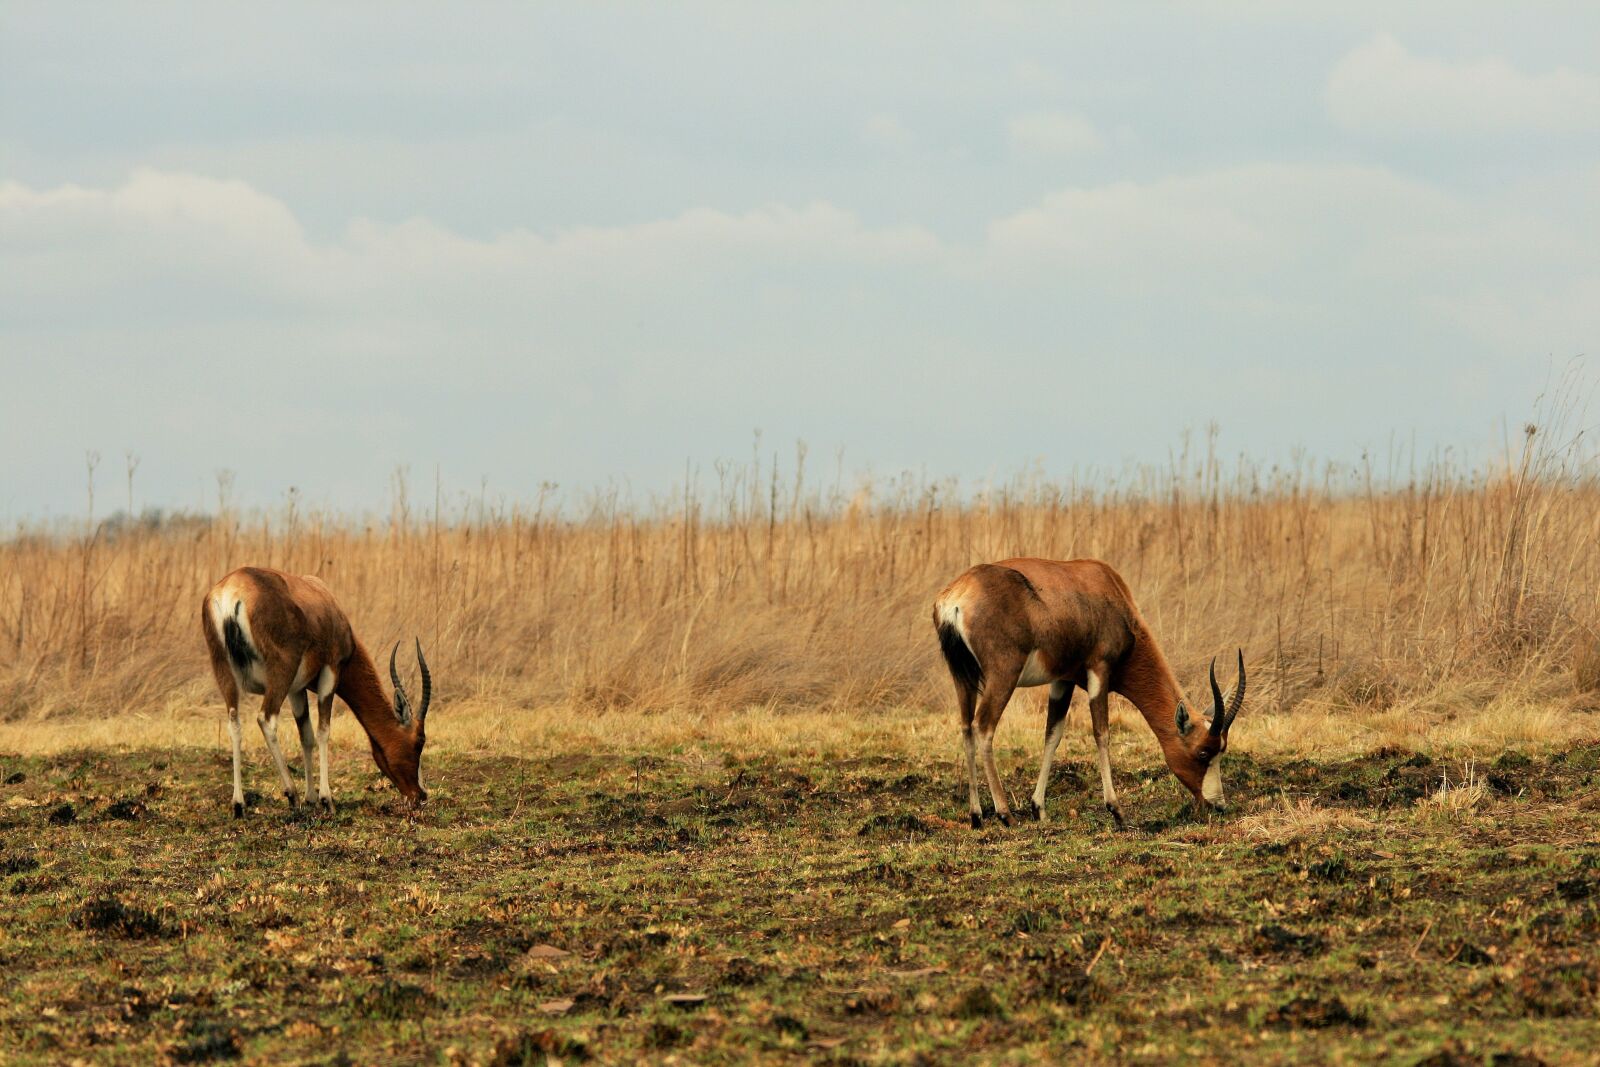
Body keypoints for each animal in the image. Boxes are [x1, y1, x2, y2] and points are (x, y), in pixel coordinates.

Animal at [201, 566, 433, 816]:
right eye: (419, 741)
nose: (420, 795)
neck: (326, 601)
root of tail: (234, 589)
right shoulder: (330, 673)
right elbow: (323, 731)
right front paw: (325, 799)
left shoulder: (297, 690)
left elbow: (306, 736)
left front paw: (311, 797)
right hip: (281, 673)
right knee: (266, 719)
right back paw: (292, 795)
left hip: (225, 671)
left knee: (234, 723)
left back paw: (239, 805)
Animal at [933, 558, 1243, 829]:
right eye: (1203, 753)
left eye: (1221, 751)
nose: (1218, 806)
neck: (1105, 586)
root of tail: (957, 597)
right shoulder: (1099, 670)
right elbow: (1101, 733)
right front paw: (1117, 811)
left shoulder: (1063, 679)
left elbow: (1053, 734)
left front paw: (1039, 809)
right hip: (1003, 676)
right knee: (984, 727)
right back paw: (1005, 814)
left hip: (964, 679)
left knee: (966, 728)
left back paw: (976, 816)